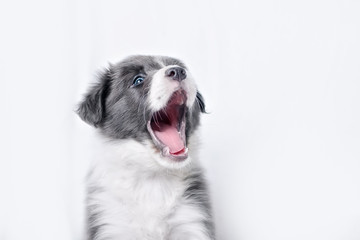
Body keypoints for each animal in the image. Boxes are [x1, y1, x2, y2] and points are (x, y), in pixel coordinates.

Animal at [76, 55, 214, 239]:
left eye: (180, 67)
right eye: (138, 80)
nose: (178, 71)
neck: (153, 177)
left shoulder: (192, 220)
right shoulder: (110, 222)